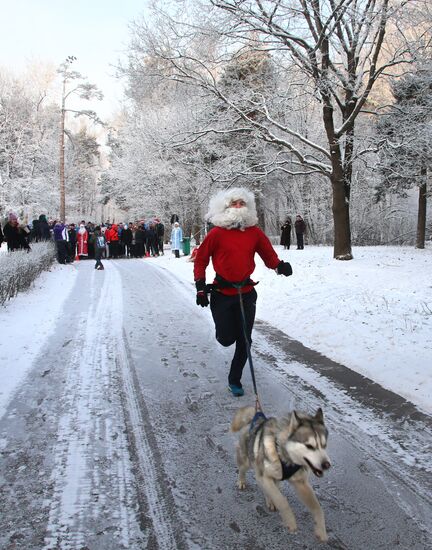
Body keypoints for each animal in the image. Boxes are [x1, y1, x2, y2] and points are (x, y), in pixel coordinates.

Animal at [233, 406, 330, 544]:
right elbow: (281, 500)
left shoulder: (301, 483)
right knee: (243, 469)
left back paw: (269, 500)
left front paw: (321, 530)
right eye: (309, 446)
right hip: (247, 460)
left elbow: (317, 508)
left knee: (272, 488)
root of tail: (256, 419)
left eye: (324, 445)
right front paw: (290, 521)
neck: (284, 456)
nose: (327, 465)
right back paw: (241, 481)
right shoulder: (263, 476)